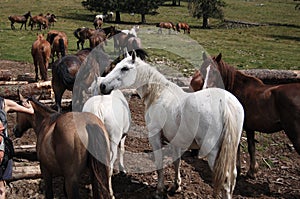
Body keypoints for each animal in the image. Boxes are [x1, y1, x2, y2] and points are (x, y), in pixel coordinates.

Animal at [99, 51, 245, 199]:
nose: (103, 85)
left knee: (225, 180)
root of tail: (225, 103)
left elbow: (159, 163)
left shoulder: (155, 136)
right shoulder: (176, 140)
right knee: (232, 176)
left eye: (125, 68)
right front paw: (176, 186)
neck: (159, 94)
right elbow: (176, 162)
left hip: (214, 152)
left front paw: (159, 190)